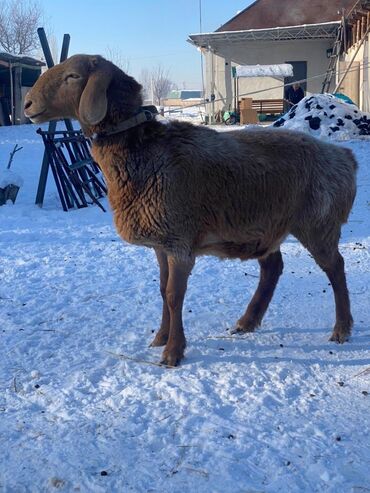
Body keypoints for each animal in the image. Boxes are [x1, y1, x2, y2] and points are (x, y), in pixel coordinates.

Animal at [23, 55, 358, 368]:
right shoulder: (160, 244)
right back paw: (247, 322)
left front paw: (173, 351)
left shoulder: (179, 241)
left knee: (335, 267)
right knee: (273, 267)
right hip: (266, 226)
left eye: (73, 76)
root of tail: (344, 156)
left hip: (318, 222)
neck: (142, 153)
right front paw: (160, 338)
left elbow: (174, 295)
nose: (27, 104)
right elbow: (162, 290)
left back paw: (341, 329)